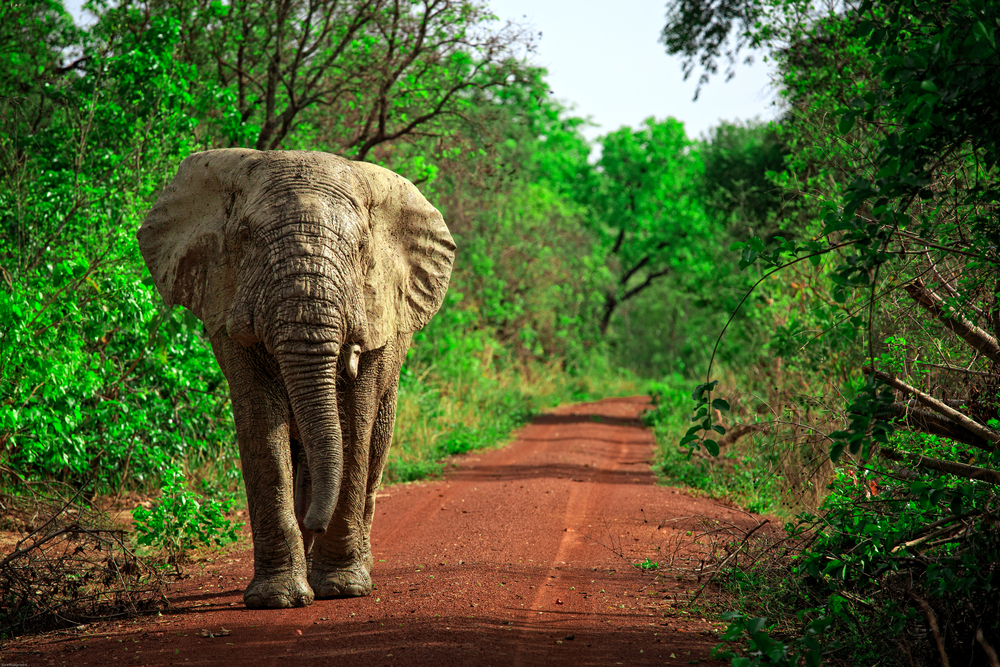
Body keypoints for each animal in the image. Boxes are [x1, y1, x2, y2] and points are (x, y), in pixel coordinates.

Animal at [138, 150, 458, 612]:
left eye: (362, 248)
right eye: (246, 237)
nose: (315, 523)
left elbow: (353, 425)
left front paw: (343, 589)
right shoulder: (224, 301)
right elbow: (261, 427)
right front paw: (277, 599)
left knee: (374, 445)